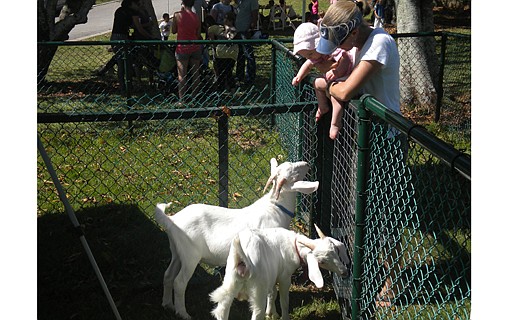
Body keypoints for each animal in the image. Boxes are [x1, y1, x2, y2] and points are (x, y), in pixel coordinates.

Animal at [155, 159, 318, 318]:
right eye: (293, 169)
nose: (307, 164)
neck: (276, 208)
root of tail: (173, 220)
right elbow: (273, 291)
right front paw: (272, 313)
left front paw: (273, 313)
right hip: (190, 254)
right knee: (179, 282)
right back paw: (183, 313)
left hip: (177, 251)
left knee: (168, 275)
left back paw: (167, 305)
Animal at [208, 226, 346, 318]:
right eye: (322, 261)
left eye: (336, 251)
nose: (344, 272)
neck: (293, 245)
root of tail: (243, 255)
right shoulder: (284, 277)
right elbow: (284, 301)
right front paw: (283, 317)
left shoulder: (273, 275)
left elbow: (273, 293)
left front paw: (271, 314)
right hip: (258, 289)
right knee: (257, 313)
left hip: (230, 281)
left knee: (222, 310)